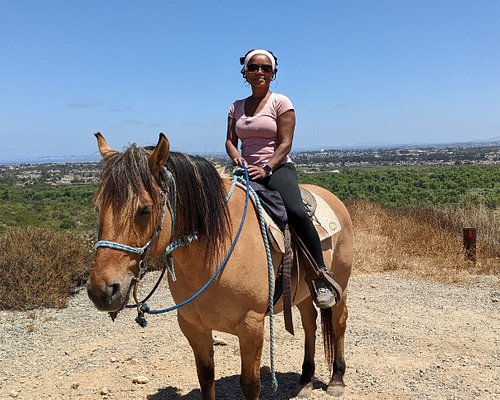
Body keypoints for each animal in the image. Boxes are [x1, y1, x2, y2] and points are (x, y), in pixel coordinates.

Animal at [87, 133, 352, 398]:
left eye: (145, 209)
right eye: (98, 208)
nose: (101, 291)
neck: (214, 254)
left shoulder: (251, 326)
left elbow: (250, 383)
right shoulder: (193, 327)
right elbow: (206, 377)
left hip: (340, 282)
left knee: (339, 321)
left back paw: (336, 379)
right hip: (302, 290)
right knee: (309, 322)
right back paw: (306, 380)